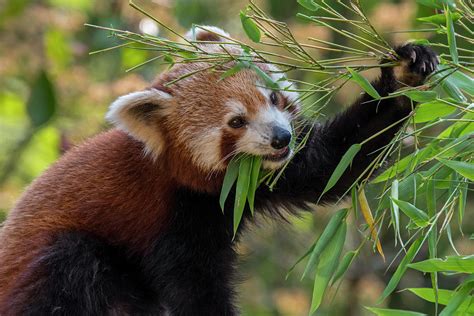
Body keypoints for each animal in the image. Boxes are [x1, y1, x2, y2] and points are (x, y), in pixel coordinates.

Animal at [0, 27, 438, 316]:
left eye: (273, 97)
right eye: (236, 122)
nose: (281, 138)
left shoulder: (255, 180)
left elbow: (330, 164)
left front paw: (405, 72)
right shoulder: (172, 217)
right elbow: (194, 287)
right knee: (73, 262)